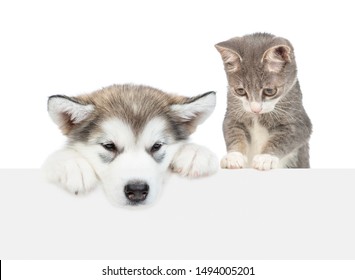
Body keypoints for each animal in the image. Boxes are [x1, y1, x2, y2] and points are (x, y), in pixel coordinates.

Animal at [216, 31, 312, 170]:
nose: (255, 109)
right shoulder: (232, 113)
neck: (258, 117)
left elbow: (285, 138)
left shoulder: (299, 122)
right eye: (241, 91)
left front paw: (266, 157)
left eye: (269, 91)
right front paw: (234, 156)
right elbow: (234, 132)